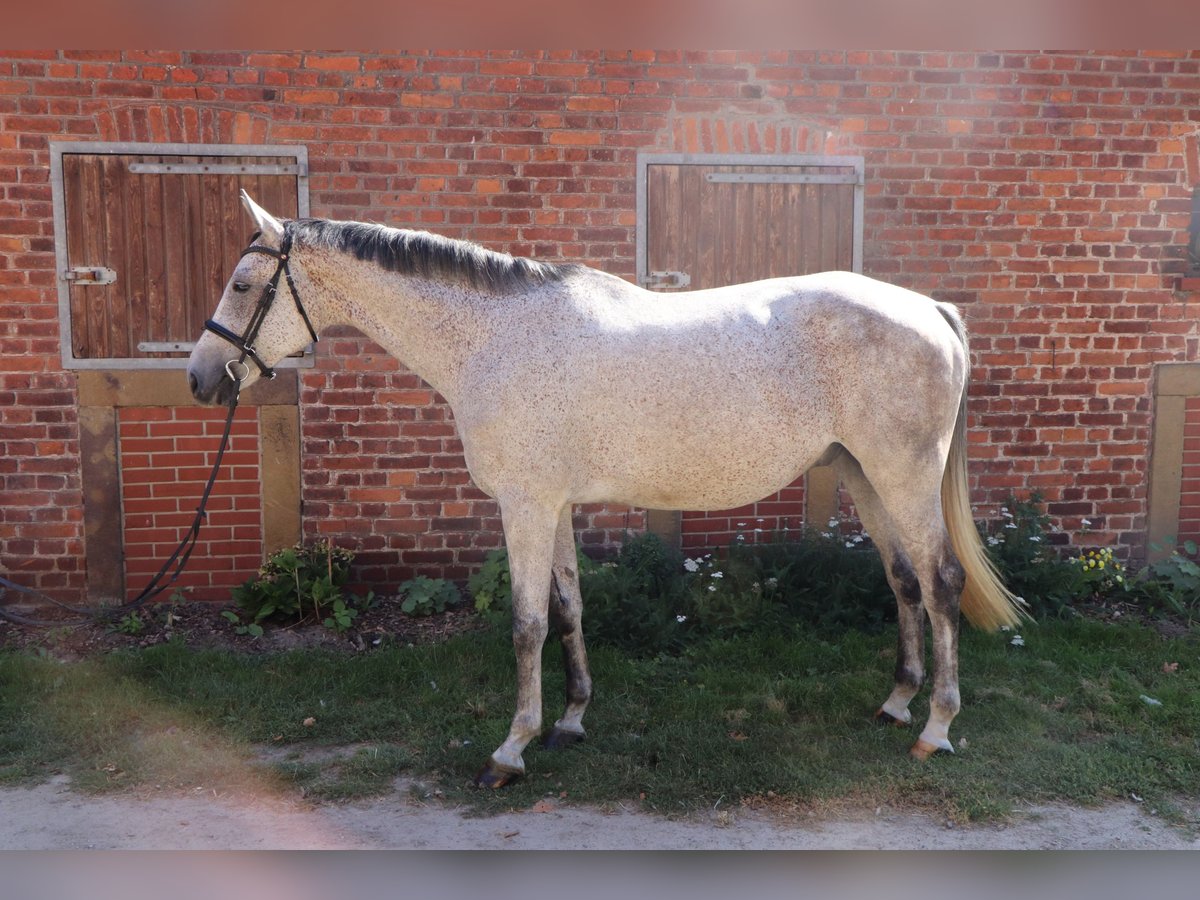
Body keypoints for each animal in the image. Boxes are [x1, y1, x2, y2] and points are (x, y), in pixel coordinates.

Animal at [188, 191, 1026, 788]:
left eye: (242, 283)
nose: (202, 378)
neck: (496, 338)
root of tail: (931, 310)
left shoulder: (524, 504)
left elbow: (526, 624)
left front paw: (510, 750)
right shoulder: (552, 503)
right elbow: (567, 610)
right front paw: (570, 721)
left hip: (901, 475)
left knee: (941, 580)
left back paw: (936, 728)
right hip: (865, 474)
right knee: (903, 580)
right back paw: (896, 703)